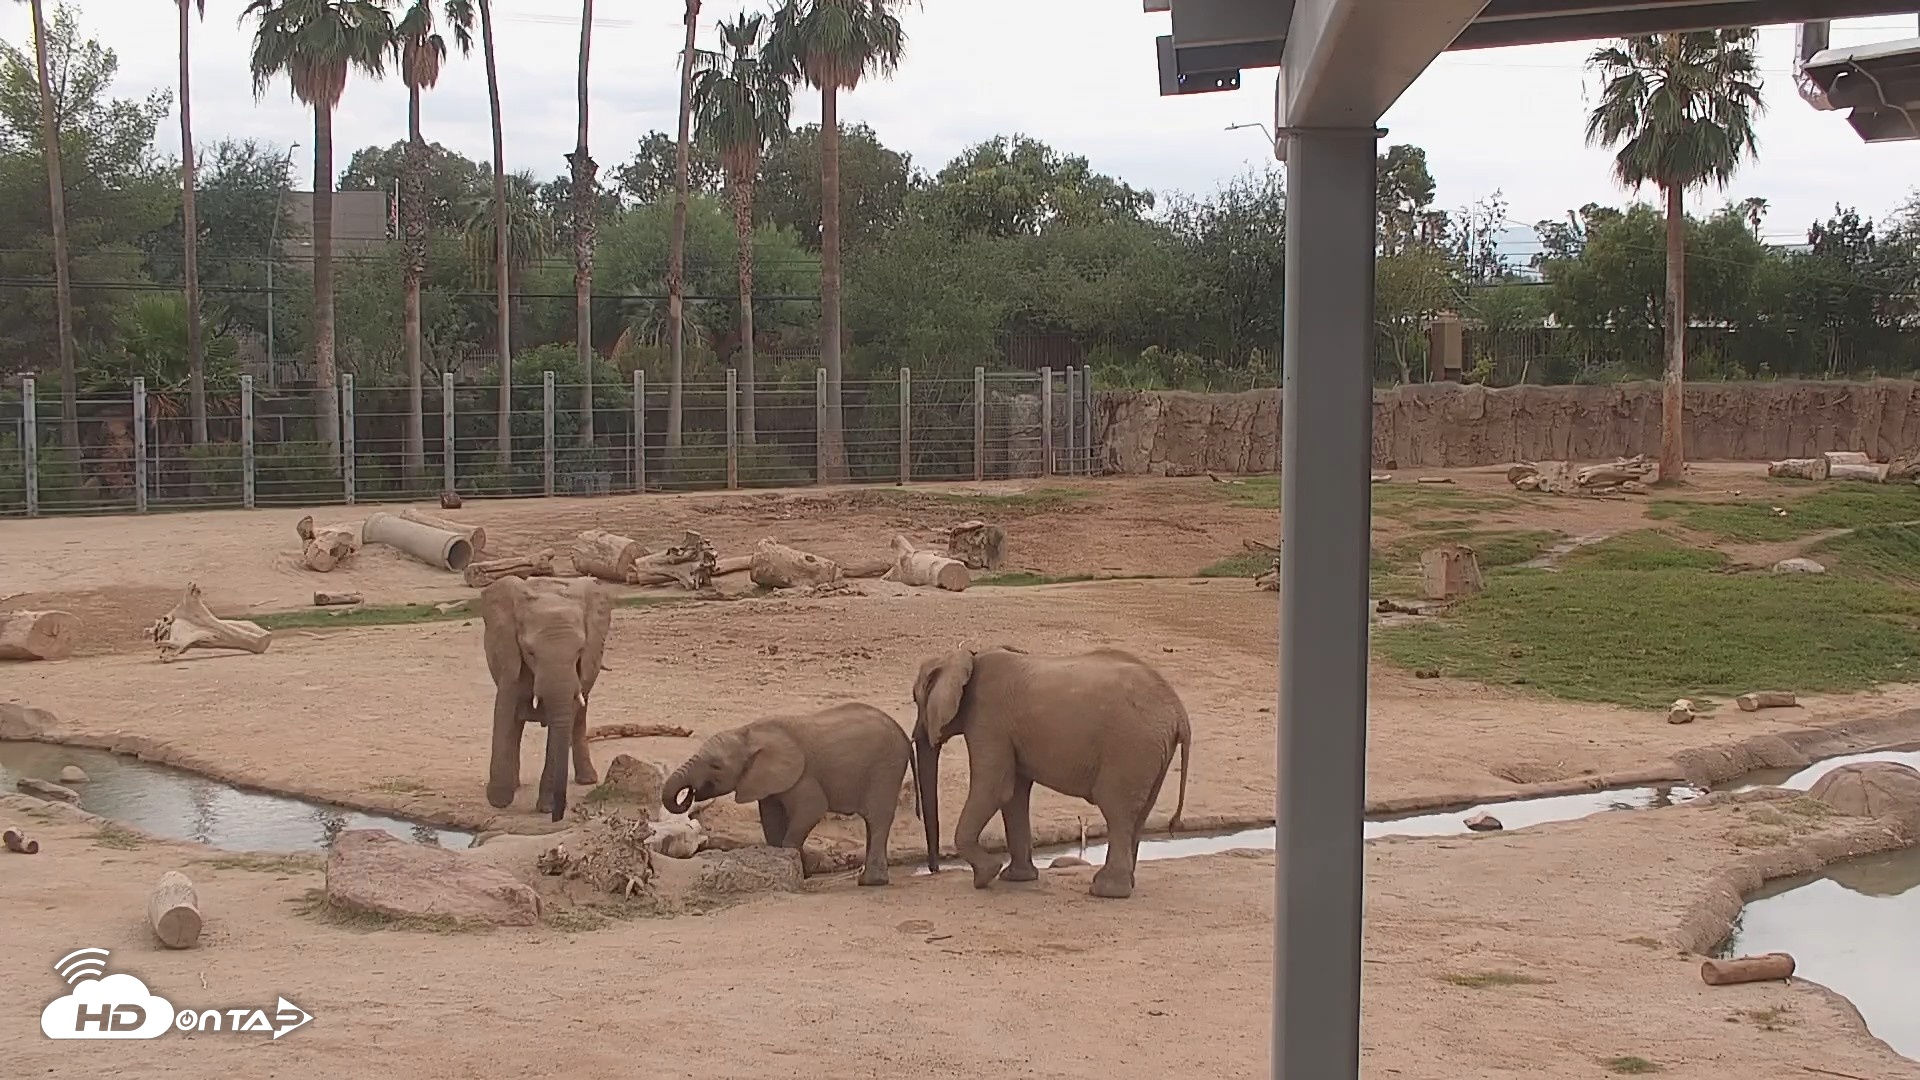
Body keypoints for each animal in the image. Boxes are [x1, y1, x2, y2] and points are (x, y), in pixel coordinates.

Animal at [478, 575, 612, 822]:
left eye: (579, 651)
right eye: (530, 652)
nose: (558, 815)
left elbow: (566, 718)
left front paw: (546, 808)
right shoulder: (510, 656)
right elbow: (504, 712)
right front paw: (499, 802)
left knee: (580, 715)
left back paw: (587, 780)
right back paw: (515, 786)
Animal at [662, 703, 916, 886]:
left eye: (715, 766)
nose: (691, 792)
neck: (748, 733)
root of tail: (904, 735)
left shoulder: (802, 775)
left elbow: (811, 810)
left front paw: (799, 871)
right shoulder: (766, 781)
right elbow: (771, 820)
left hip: (886, 767)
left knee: (877, 818)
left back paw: (872, 883)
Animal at [912, 646, 1192, 899]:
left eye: (915, 699)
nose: (934, 870)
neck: (966, 657)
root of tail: (1179, 712)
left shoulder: (987, 720)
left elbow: (996, 789)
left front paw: (986, 876)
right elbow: (1014, 795)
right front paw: (1015, 878)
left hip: (1130, 747)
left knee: (1117, 810)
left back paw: (1105, 891)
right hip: (1151, 752)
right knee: (1139, 813)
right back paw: (1124, 885)